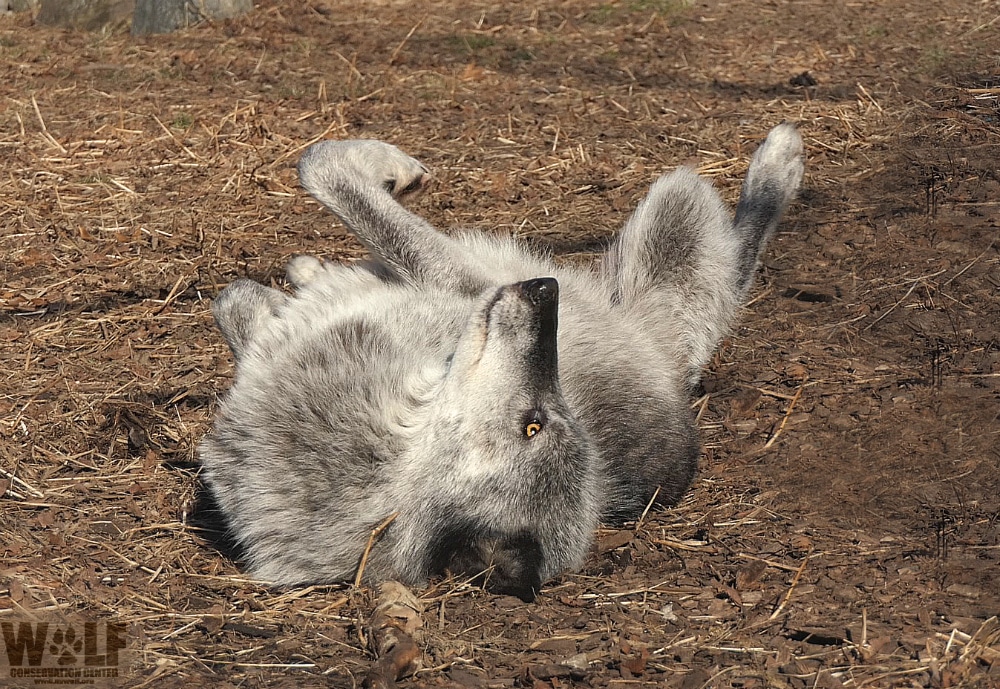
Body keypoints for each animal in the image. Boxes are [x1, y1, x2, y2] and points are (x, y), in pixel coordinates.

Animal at [197, 125, 804, 600]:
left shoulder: (466, 282)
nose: (545, 291)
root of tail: (680, 382)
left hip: (676, 212)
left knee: (740, 254)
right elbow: (241, 293)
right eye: (536, 424)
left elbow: (325, 167)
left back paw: (780, 159)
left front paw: (391, 170)